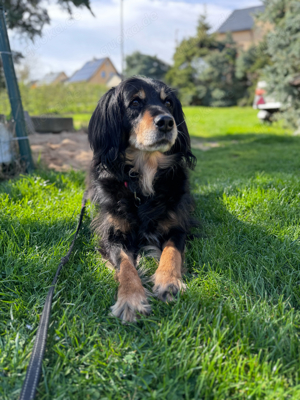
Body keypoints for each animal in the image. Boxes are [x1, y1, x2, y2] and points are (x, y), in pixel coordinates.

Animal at [87, 76, 197, 324]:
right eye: (135, 102)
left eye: (168, 103)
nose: (166, 122)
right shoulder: (112, 235)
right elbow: (126, 265)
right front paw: (131, 299)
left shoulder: (178, 227)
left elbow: (171, 252)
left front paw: (168, 281)